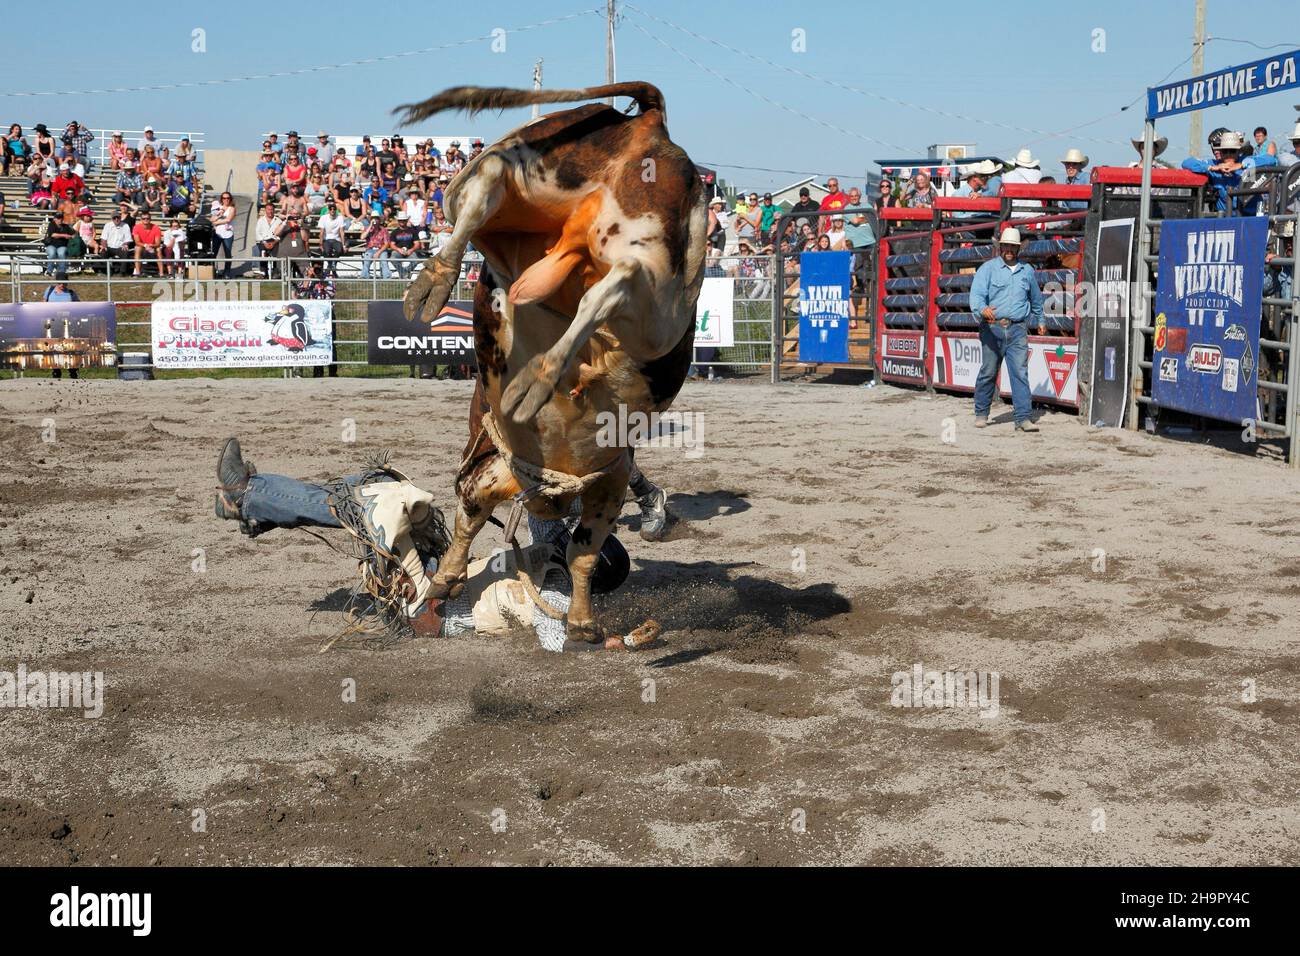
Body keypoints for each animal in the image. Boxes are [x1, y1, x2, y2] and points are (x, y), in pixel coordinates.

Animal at [390, 82, 707, 647]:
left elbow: (575, 550)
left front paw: (578, 620)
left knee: (495, 192)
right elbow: (488, 521)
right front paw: (448, 580)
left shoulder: (600, 477)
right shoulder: (536, 473)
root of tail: (648, 124)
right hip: (648, 293)